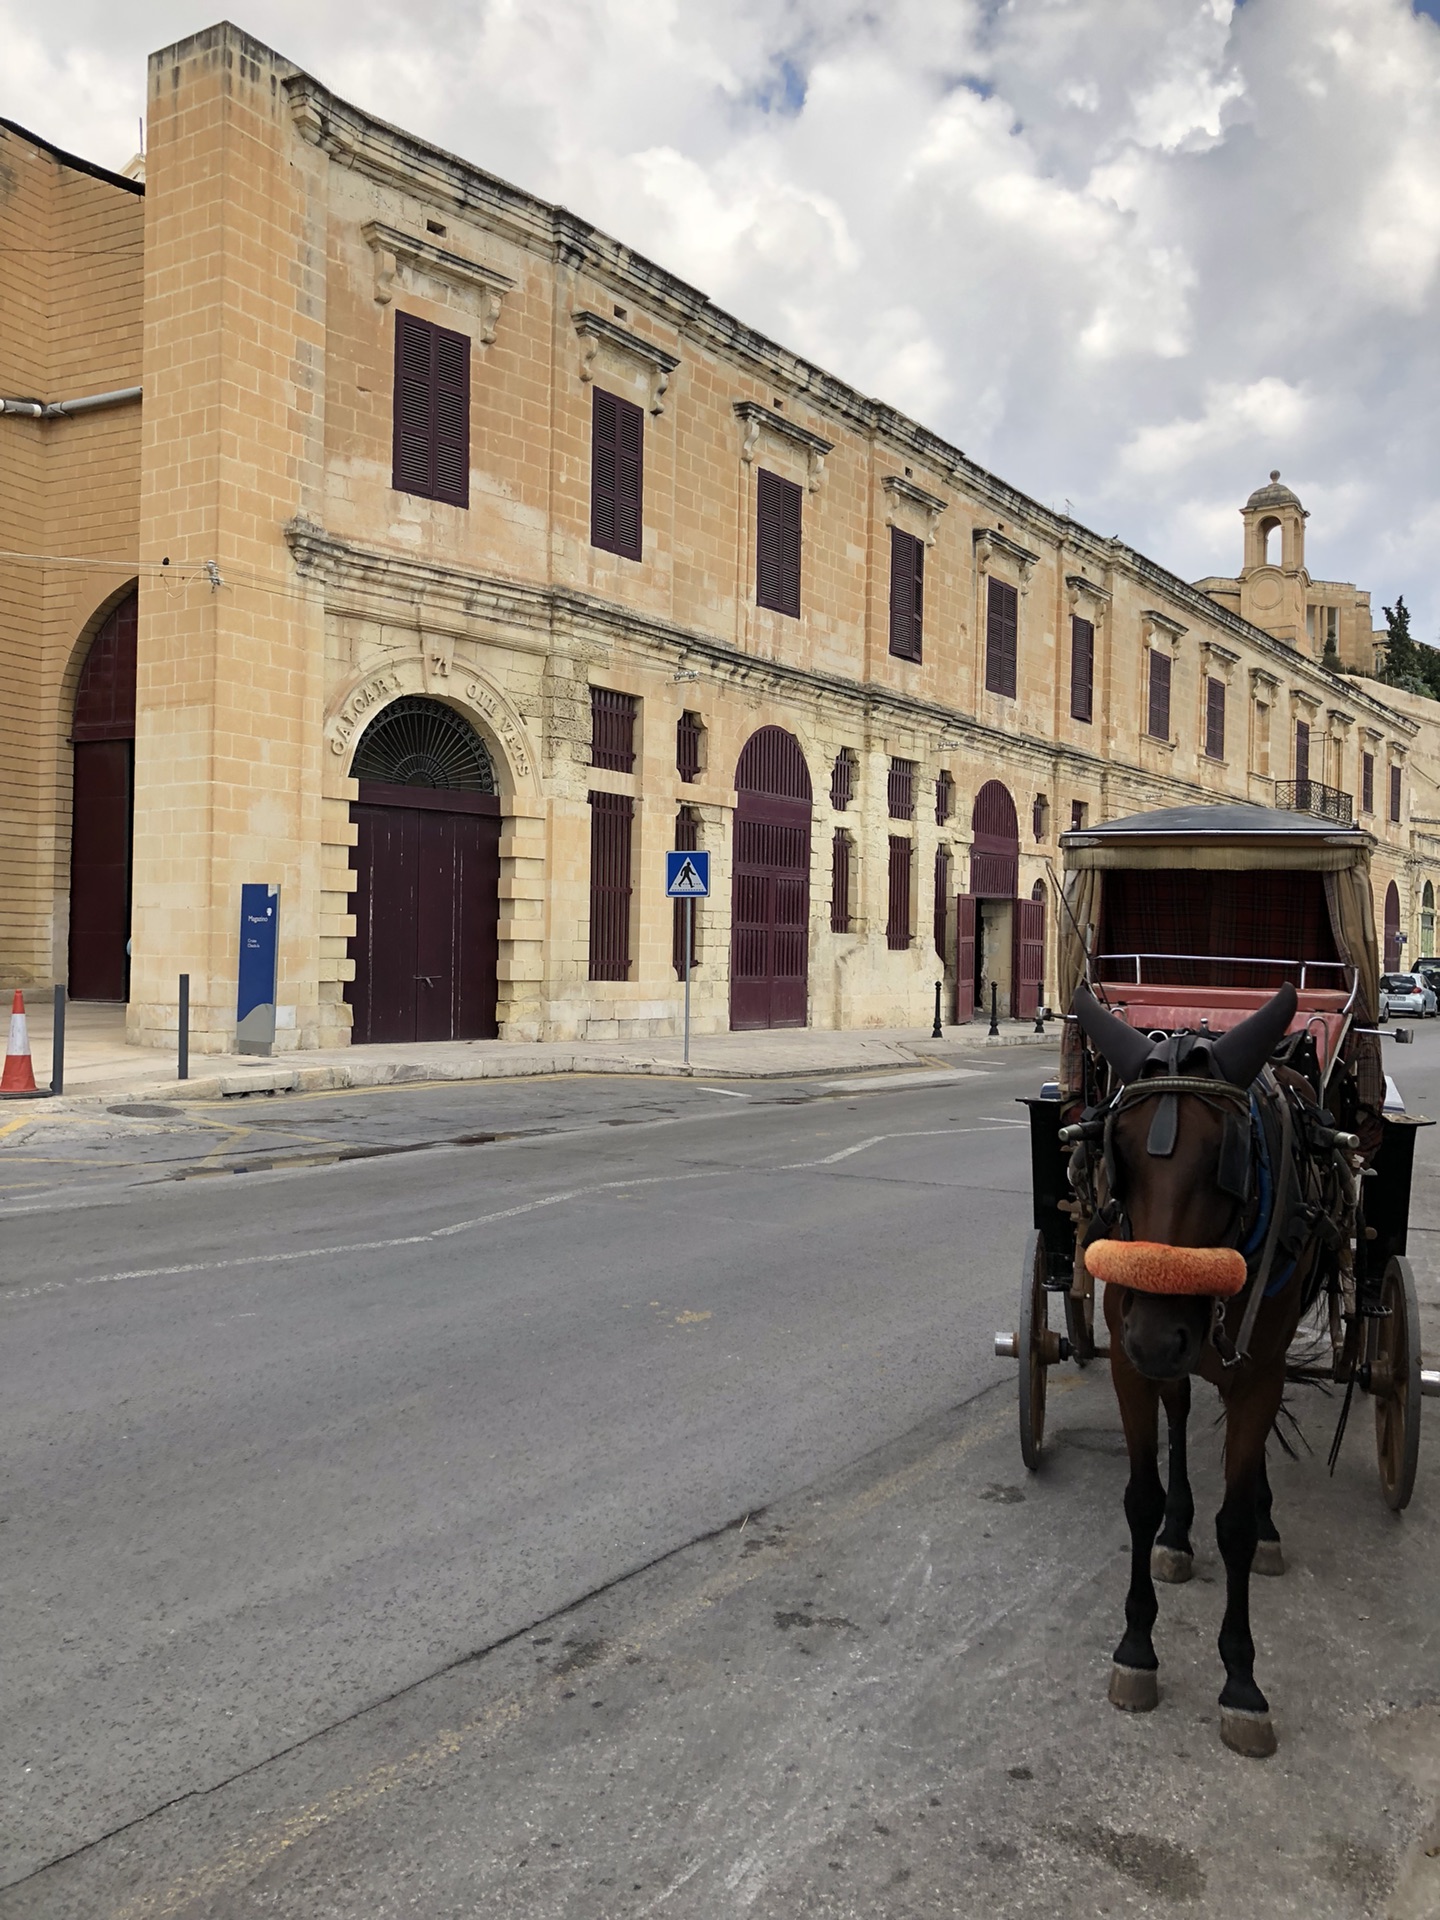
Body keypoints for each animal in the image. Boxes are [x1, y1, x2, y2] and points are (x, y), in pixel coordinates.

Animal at [1075, 983, 1344, 1758]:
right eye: (1117, 1153)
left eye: (1227, 1161)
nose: (1160, 1338)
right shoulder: (1127, 1361)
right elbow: (1141, 1495)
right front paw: (1137, 1646)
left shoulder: (1259, 1373)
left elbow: (1236, 1525)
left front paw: (1242, 1682)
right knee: (1182, 1412)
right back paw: (1176, 1534)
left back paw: (1266, 1521)